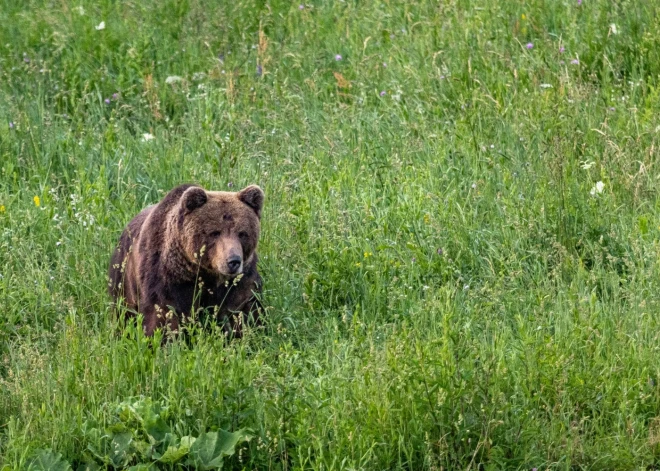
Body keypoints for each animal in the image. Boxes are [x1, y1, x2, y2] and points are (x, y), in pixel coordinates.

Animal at [107, 183, 262, 338]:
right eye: (214, 233)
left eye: (242, 233)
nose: (233, 261)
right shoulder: (167, 278)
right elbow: (163, 314)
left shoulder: (238, 282)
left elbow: (242, 310)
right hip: (123, 278)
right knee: (123, 311)